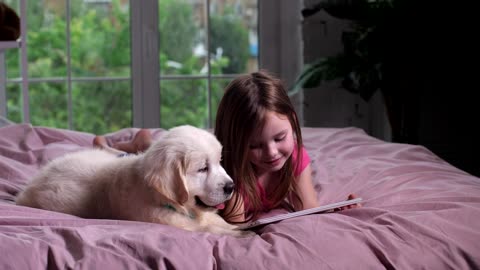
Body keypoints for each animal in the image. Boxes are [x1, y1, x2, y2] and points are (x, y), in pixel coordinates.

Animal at [16, 125, 253, 237]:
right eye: (203, 168)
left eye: (219, 162)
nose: (231, 186)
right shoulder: (163, 221)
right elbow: (204, 229)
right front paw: (240, 233)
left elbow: (217, 222)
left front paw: (239, 227)